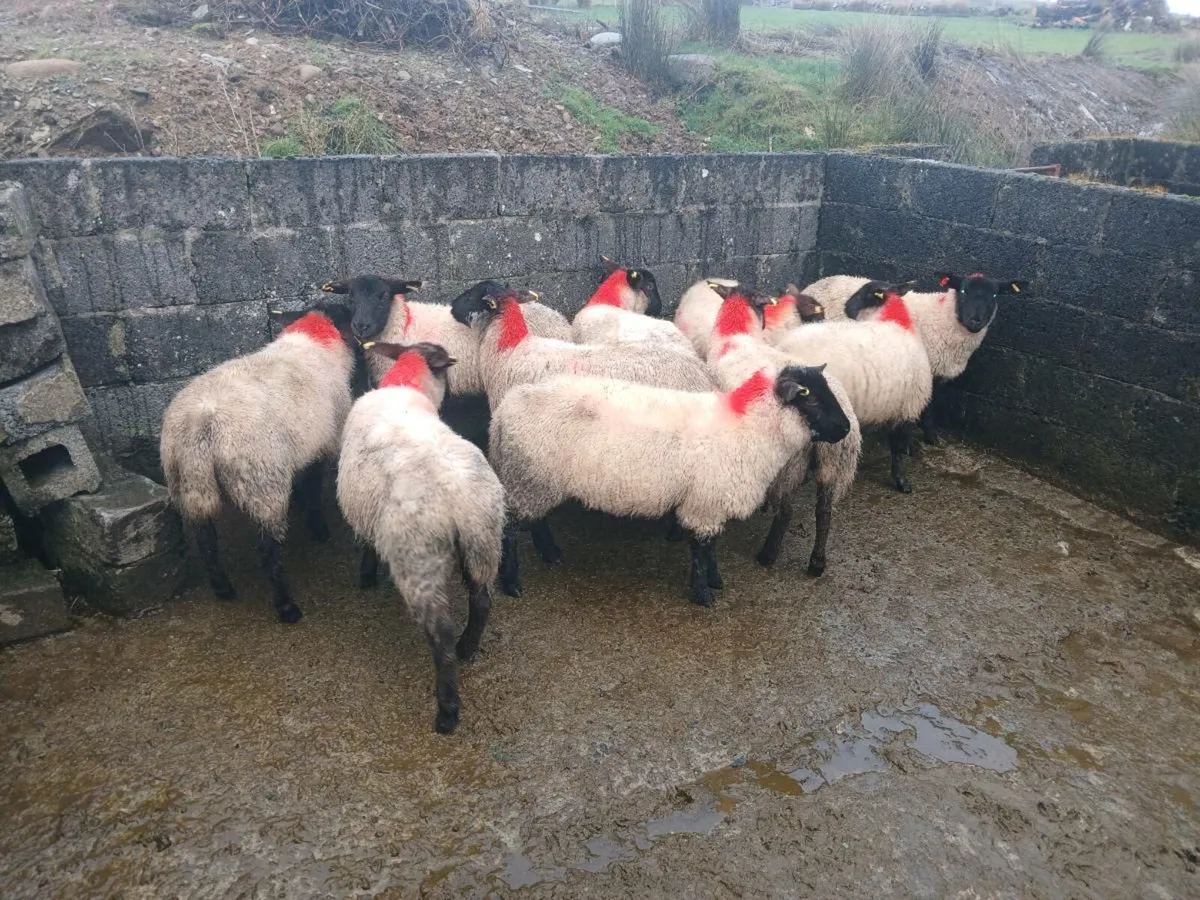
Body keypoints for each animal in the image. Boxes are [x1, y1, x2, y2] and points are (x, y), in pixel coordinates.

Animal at [160, 302, 357, 623]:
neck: (315, 340)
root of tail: (202, 425)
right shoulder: (320, 444)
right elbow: (313, 488)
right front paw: (318, 528)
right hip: (261, 482)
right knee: (267, 550)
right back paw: (286, 606)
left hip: (187, 481)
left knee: (206, 540)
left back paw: (223, 588)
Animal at [336, 341, 505, 735]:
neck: (405, 382)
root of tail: (458, 500)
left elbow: (366, 547)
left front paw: (366, 575)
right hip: (485, 543)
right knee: (482, 600)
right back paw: (468, 648)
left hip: (419, 559)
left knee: (440, 635)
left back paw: (447, 710)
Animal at [488, 365, 852, 607]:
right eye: (810, 398)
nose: (847, 428)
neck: (749, 429)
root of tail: (505, 408)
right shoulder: (705, 502)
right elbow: (701, 549)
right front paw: (703, 594)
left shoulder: (710, 500)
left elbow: (712, 545)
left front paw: (715, 581)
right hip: (530, 476)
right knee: (511, 530)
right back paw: (513, 583)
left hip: (537, 479)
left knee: (536, 521)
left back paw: (551, 554)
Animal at [705, 293, 862, 575]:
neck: (735, 336)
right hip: (834, 465)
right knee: (824, 511)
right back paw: (817, 562)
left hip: (789, 465)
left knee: (787, 512)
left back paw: (768, 554)